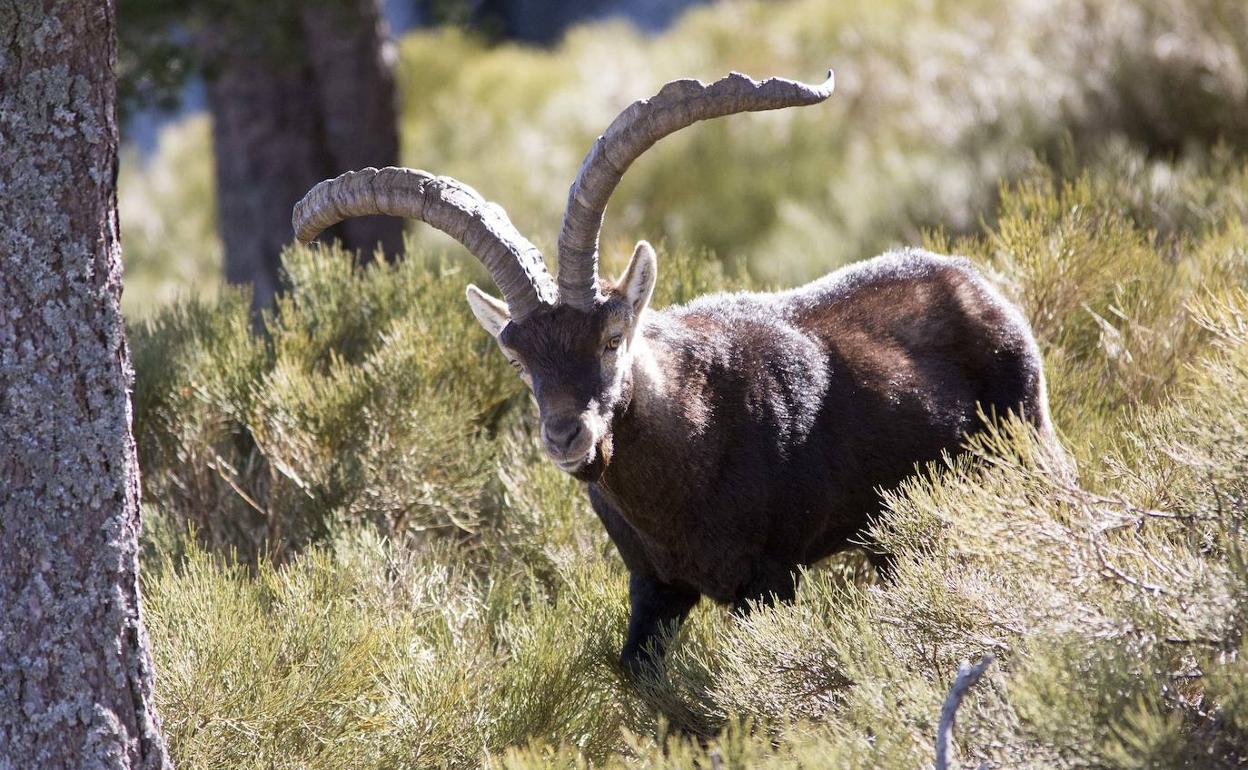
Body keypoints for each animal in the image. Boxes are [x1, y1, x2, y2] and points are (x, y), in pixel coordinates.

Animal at [293, 71, 1056, 673]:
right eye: (518, 360)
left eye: (612, 339)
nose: (567, 437)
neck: (686, 449)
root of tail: (980, 286)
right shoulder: (655, 589)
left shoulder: (767, 581)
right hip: (895, 532)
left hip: (1028, 448)